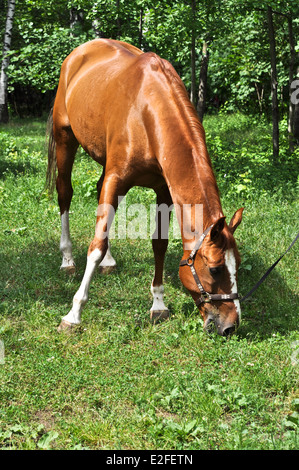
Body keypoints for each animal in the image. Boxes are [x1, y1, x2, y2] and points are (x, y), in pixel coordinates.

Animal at [47, 38, 244, 336]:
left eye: (238, 265)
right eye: (215, 269)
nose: (230, 325)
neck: (147, 112)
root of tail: (79, 52)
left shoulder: (163, 191)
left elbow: (158, 244)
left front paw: (158, 304)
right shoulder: (116, 178)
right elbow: (96, 245)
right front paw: (73, 314)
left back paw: (108, 261)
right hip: (65, 139)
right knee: (64, 193)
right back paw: (67, 259)